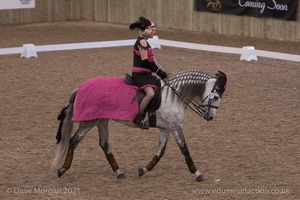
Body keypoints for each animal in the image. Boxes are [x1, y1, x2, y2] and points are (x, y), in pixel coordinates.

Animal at [52, 70, 227, 181]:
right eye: (216, 96)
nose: (210, 117)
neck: (174, 95)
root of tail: (79, 88)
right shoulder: (175, 126)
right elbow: (184, 150)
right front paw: (197, 173)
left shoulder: (166, 128)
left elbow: (160, 152)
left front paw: (143, 170)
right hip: (89, 121)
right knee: (74, 141)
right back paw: (62, 170)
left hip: (101, 121)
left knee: (104, 144)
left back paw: (119, 173)